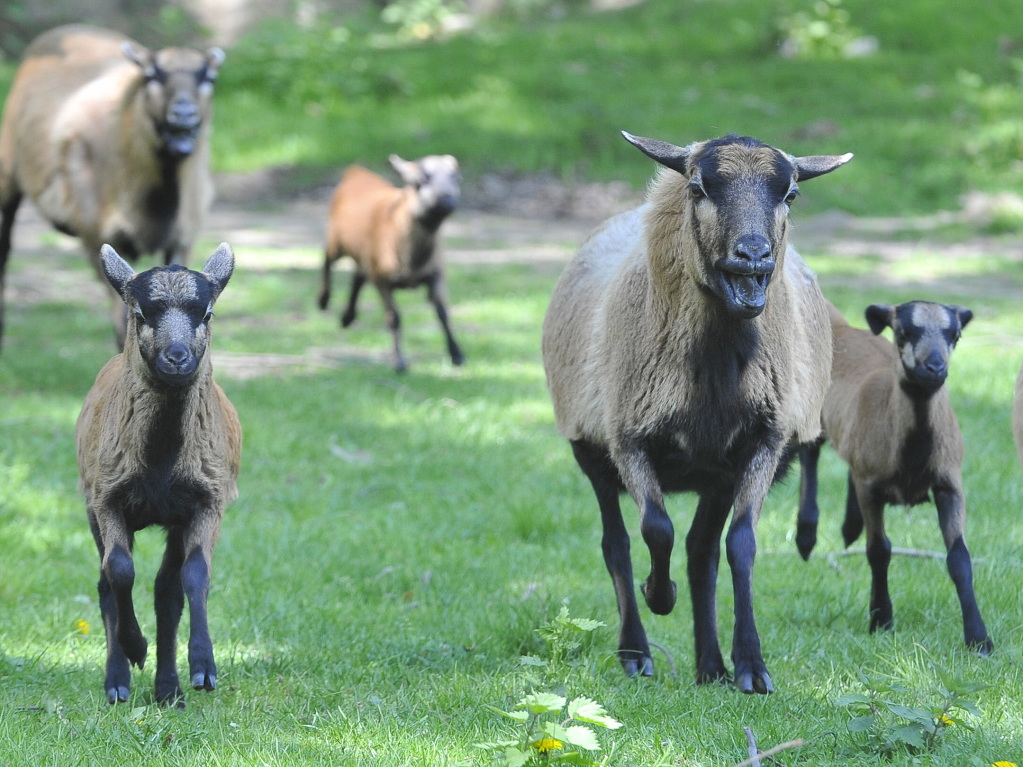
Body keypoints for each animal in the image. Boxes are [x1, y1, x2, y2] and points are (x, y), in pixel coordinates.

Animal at [0, 23, 226, 347]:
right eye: (152, 75)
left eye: (208, 76)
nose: (184, 115)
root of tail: (71, 28)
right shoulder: (99, 238)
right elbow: (124, 322)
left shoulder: (184, 235)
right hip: (8, 174)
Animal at [76, 243, 242, 707]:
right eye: (139, 313)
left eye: (207, 313)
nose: (177, 358)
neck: (161, 466)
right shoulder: (108, 497)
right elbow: (119, 571)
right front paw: (135, 648)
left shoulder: (207, 501)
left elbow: (195, 576)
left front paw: (203, 666)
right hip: (91, 503)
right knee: (106, 585)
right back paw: (118, 681)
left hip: (175, 520)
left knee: (166, 593)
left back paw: (169, 689)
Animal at [317, 152, 466, 372]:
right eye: (419, 181)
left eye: (456, 178)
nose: (446, 200)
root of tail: (356, 172)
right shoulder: (382, 279)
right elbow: (393, 318)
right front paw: (399, 362)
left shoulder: (436, 272)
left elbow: (443, 313)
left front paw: (457, 355)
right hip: (337, 240)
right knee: (328, 257)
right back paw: (323, 300)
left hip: (365, 255)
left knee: (358, 275)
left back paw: (347, 318)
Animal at [540, 129, 851, 695]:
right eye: (698, 188)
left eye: (790, 194)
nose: (753, 257)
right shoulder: (628, 438)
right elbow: (654, 530)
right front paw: (658, 595)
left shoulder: (762, 443)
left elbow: (741, 545)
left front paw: (751, 665)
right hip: (591, 449)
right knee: (617, 544)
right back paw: (636, 653)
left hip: (715, 475)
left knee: (702, 551)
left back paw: (711, 667)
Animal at [797, 300, 990, 654]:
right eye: (903, 333)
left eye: (955, 335)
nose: (935, 368)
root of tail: (843, 328)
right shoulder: (871, 488)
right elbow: (879, 551)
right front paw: (881, 620)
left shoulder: (950, 484)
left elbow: (959, 557)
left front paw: (979, 639)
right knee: (810, 451)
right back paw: (806, 536)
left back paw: (848, 527)